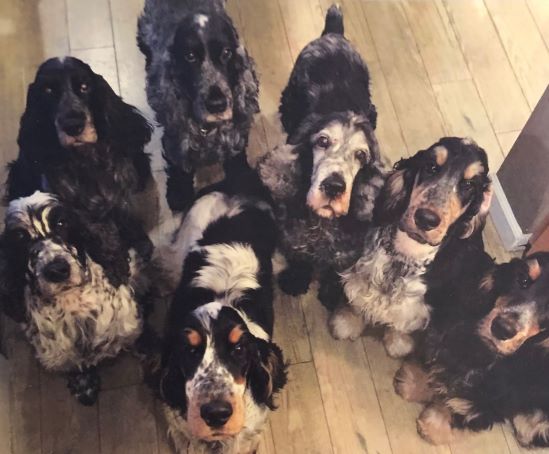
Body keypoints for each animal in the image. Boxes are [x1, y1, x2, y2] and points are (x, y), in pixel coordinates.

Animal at [0, 192, 160, 405]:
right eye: (20, 238)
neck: (75, 305)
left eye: (62, 223)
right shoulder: (58, 353)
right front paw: (84, 384)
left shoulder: (131, 323)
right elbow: (75, 365)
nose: (56, 270)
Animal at [138, 0, 259, 212]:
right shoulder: (177, 138)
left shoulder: (235, 136)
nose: (217, 105)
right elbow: (179, 165)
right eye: (190, 56)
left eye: (226, 52)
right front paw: (178, 194)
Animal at [258, 4, 384, 308]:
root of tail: (333, 34)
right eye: (322, 141)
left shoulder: (348, 251)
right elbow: (299, 257)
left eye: (361, 155)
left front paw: (330, 293)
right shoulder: (293, 235)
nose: (334, 186)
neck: (322, 224)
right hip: (289, 100)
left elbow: (336, 269)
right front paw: (296, 280)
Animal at [330, 137, 492, 358]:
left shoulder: (419, 308)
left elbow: (402, 325)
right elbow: (355, 301)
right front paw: (346, 324)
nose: (426, 219)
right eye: (431, 167)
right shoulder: (359, 272)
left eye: (468, 185)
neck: (406, 254)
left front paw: (398, 345)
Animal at [394, 253, 549, 448]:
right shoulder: (446, 340)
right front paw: (411, 384)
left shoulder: (486, 397)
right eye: (523, 280)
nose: (502, 328)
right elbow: (431, 365)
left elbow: (460, 407)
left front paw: (432, 428)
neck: (481, 347)